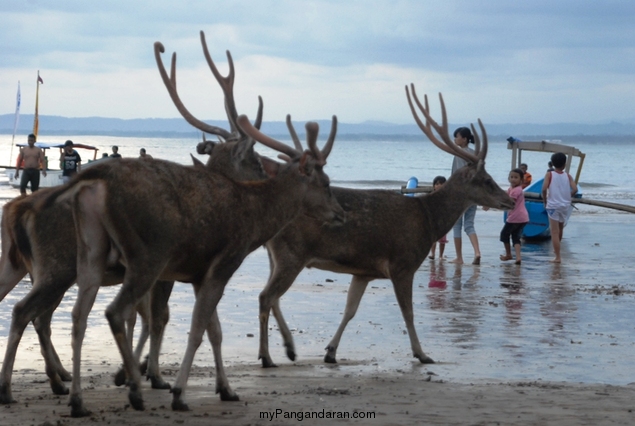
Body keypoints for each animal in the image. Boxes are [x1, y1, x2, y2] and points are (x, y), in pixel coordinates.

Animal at [0, 30, 272, 406]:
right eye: (255, 161)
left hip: (23, 266)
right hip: (58, 266)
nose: (268, 176)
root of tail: (18, 210)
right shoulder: (170, 271)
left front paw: (141, 372)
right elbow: (161, 319)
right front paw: (147, 374)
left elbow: (185, 322)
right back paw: (29, 385)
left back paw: (56, 380)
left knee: (32, 312)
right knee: (31, 314)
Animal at [255, 85, 516, 368]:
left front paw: (331, 351)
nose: (511, 200)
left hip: (277, 255)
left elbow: (350, 310)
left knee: (273, 297)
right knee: (266, 296)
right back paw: (267, 356)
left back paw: (290, 349)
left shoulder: (364, 271)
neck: (429, 220)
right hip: (292, 253)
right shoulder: (402, 264)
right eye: (487, 180)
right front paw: (422, 353)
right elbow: (408, 313)